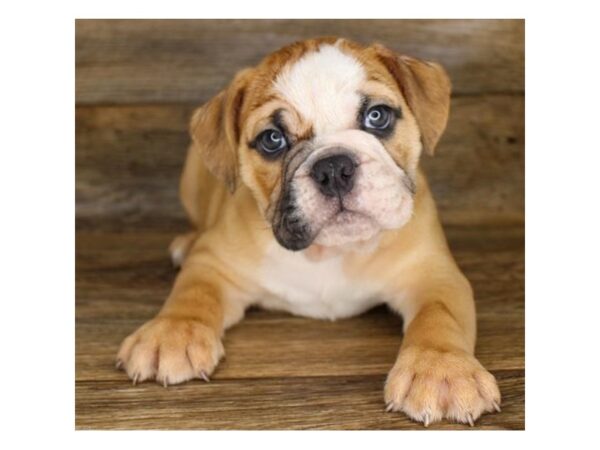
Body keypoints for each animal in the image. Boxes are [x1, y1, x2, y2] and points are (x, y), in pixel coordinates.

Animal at [115, 37, 500, 426]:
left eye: (377, 116)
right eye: (272, 139)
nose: (333, 167)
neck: (328, 251)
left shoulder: (434, 273)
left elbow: (439, 317)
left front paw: (442, 369)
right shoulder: (214, 263)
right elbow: (192, 294)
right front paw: (170, 334)